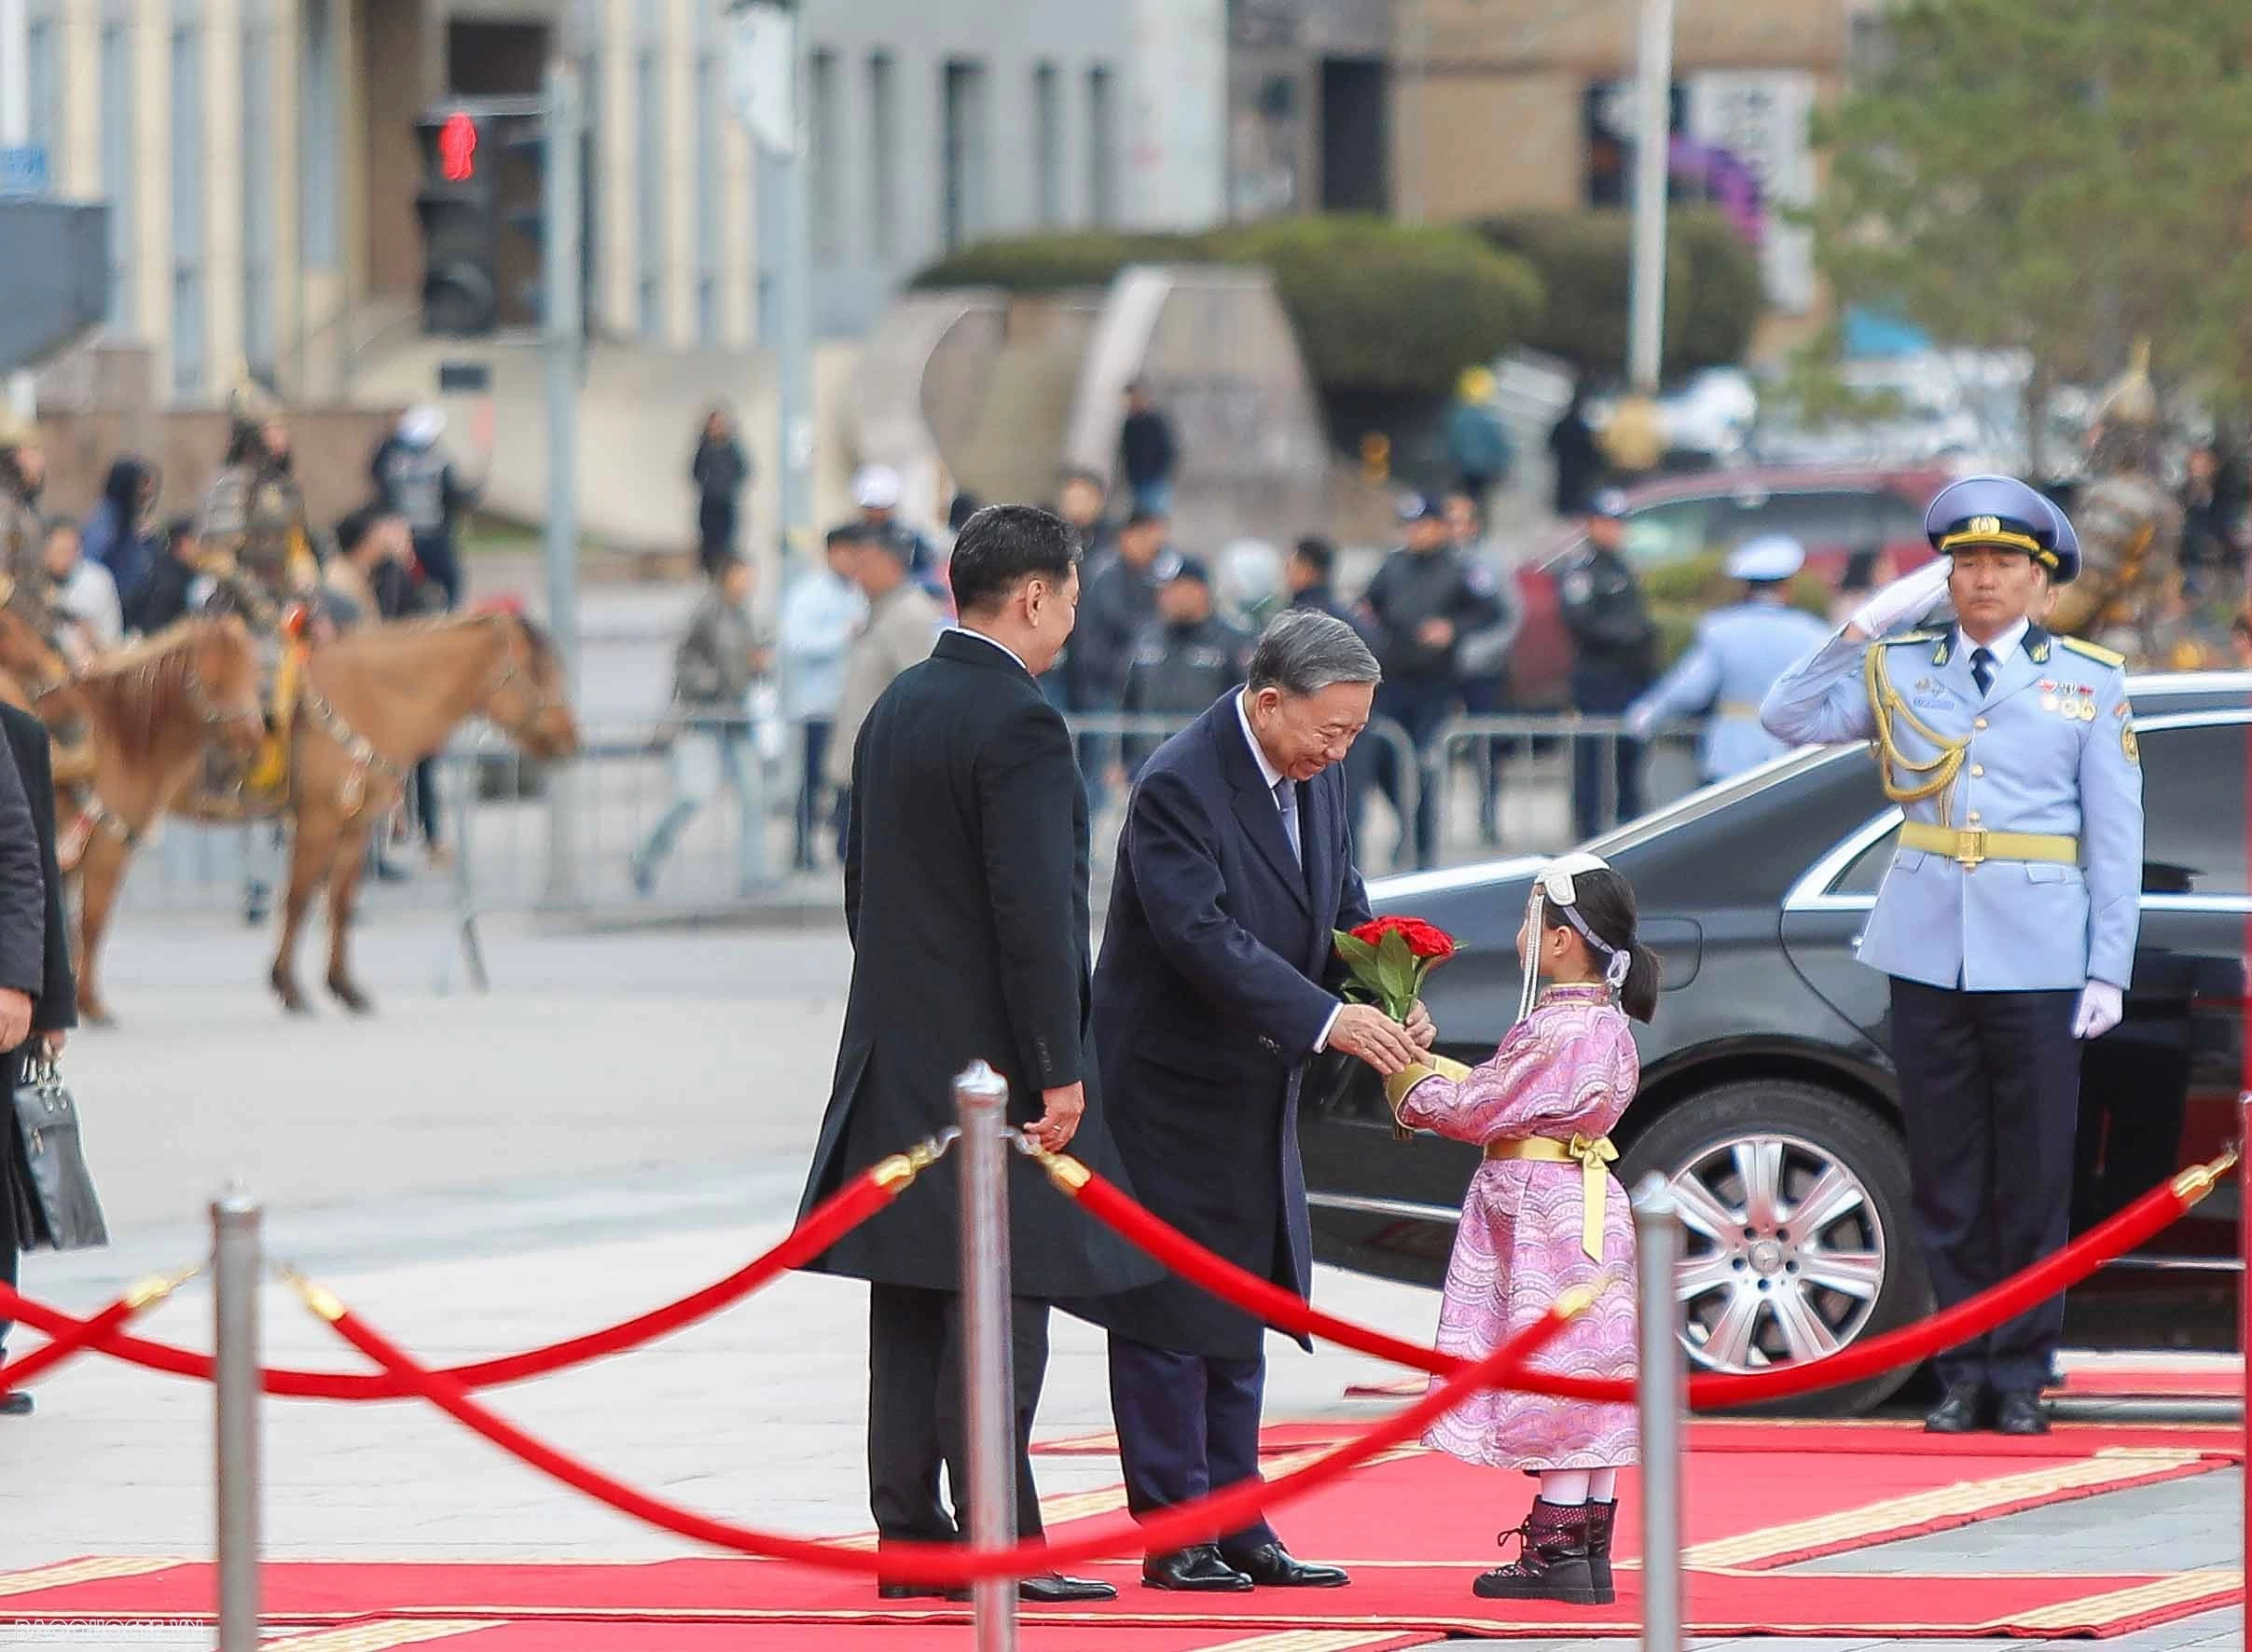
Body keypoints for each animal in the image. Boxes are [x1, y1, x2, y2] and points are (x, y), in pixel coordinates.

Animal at [257, 612, 581, 1017]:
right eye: (536, 671)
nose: (572, 740)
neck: (367, 701)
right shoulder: (317, 821)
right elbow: (297, 900)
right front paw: (287, 986)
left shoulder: (355, 825)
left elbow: (340, 903)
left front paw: (344, 987)